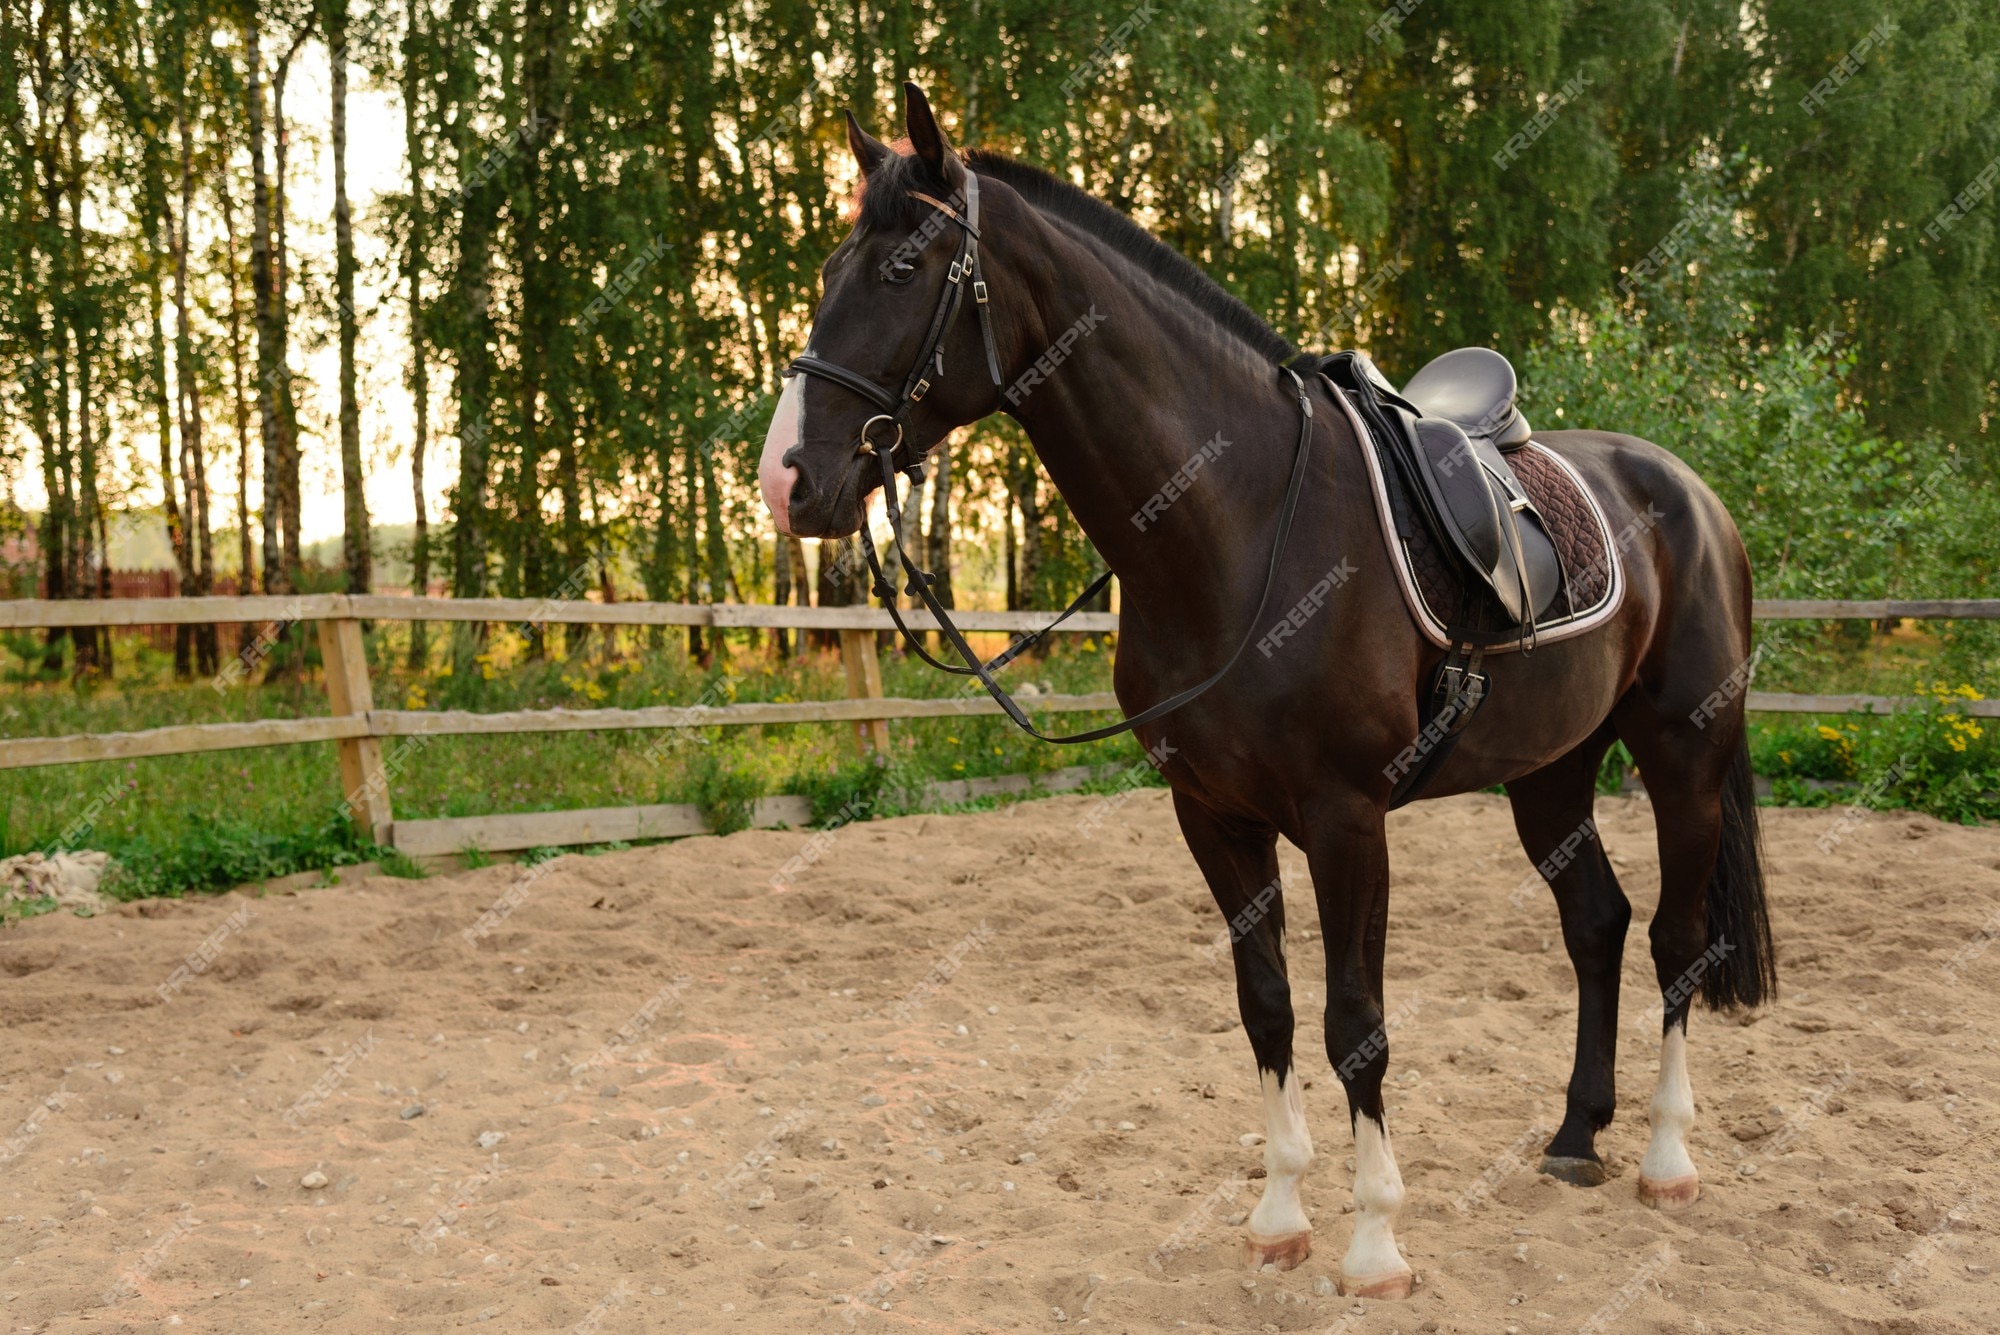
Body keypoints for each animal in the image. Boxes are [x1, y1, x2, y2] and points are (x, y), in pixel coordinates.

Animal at [756, 80, 1776, 1295]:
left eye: (904, 268)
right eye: (831, 268)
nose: (787, 479)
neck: (1233, 522)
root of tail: (1690, 495)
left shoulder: (1345, 820)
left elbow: (1355, 1021)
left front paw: (1375, 1242)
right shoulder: (1213, 817)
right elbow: (1268, 1007)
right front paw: (1279, 1217)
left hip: (1681, 754)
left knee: (1676, 938)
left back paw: (1665, 1157)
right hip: (1551, 770)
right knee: (1597, 924)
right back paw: (1577, 1133)